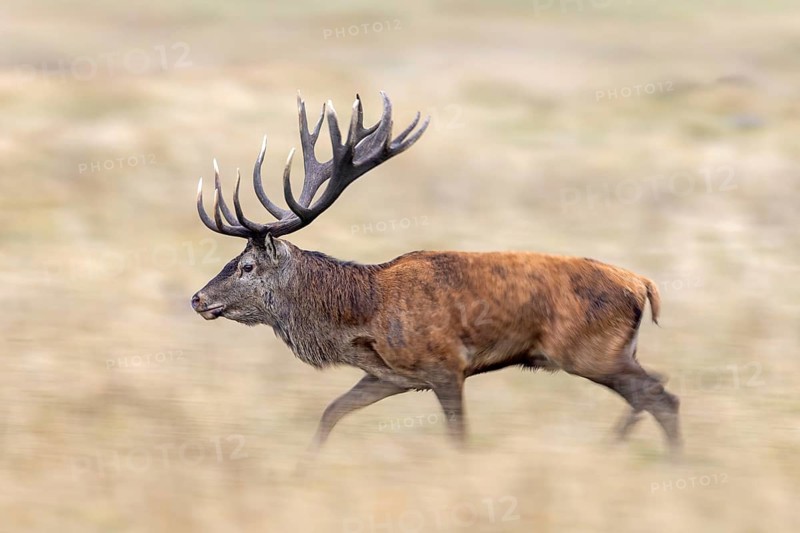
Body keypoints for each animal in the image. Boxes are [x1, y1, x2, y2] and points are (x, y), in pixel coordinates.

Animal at [190, 92, 682, 456]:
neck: (364, 316)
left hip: (587, 351)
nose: (198, 298)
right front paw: (308, 461)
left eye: (246, 266)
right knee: (656, 387)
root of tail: (643, 284)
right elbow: (331, 412)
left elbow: (458, 436)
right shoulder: (389, 376)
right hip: (612, 350)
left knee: (661, 394)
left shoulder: (446, 365)